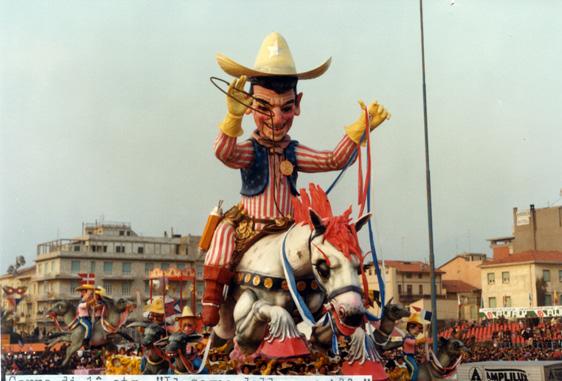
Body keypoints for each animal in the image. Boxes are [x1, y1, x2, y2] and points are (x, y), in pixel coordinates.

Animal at [212, 184, 370, 354]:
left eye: (359, 268)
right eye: (322, 267)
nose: (353, 314)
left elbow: (323, 335)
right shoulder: (243, 329)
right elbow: (261, 313)